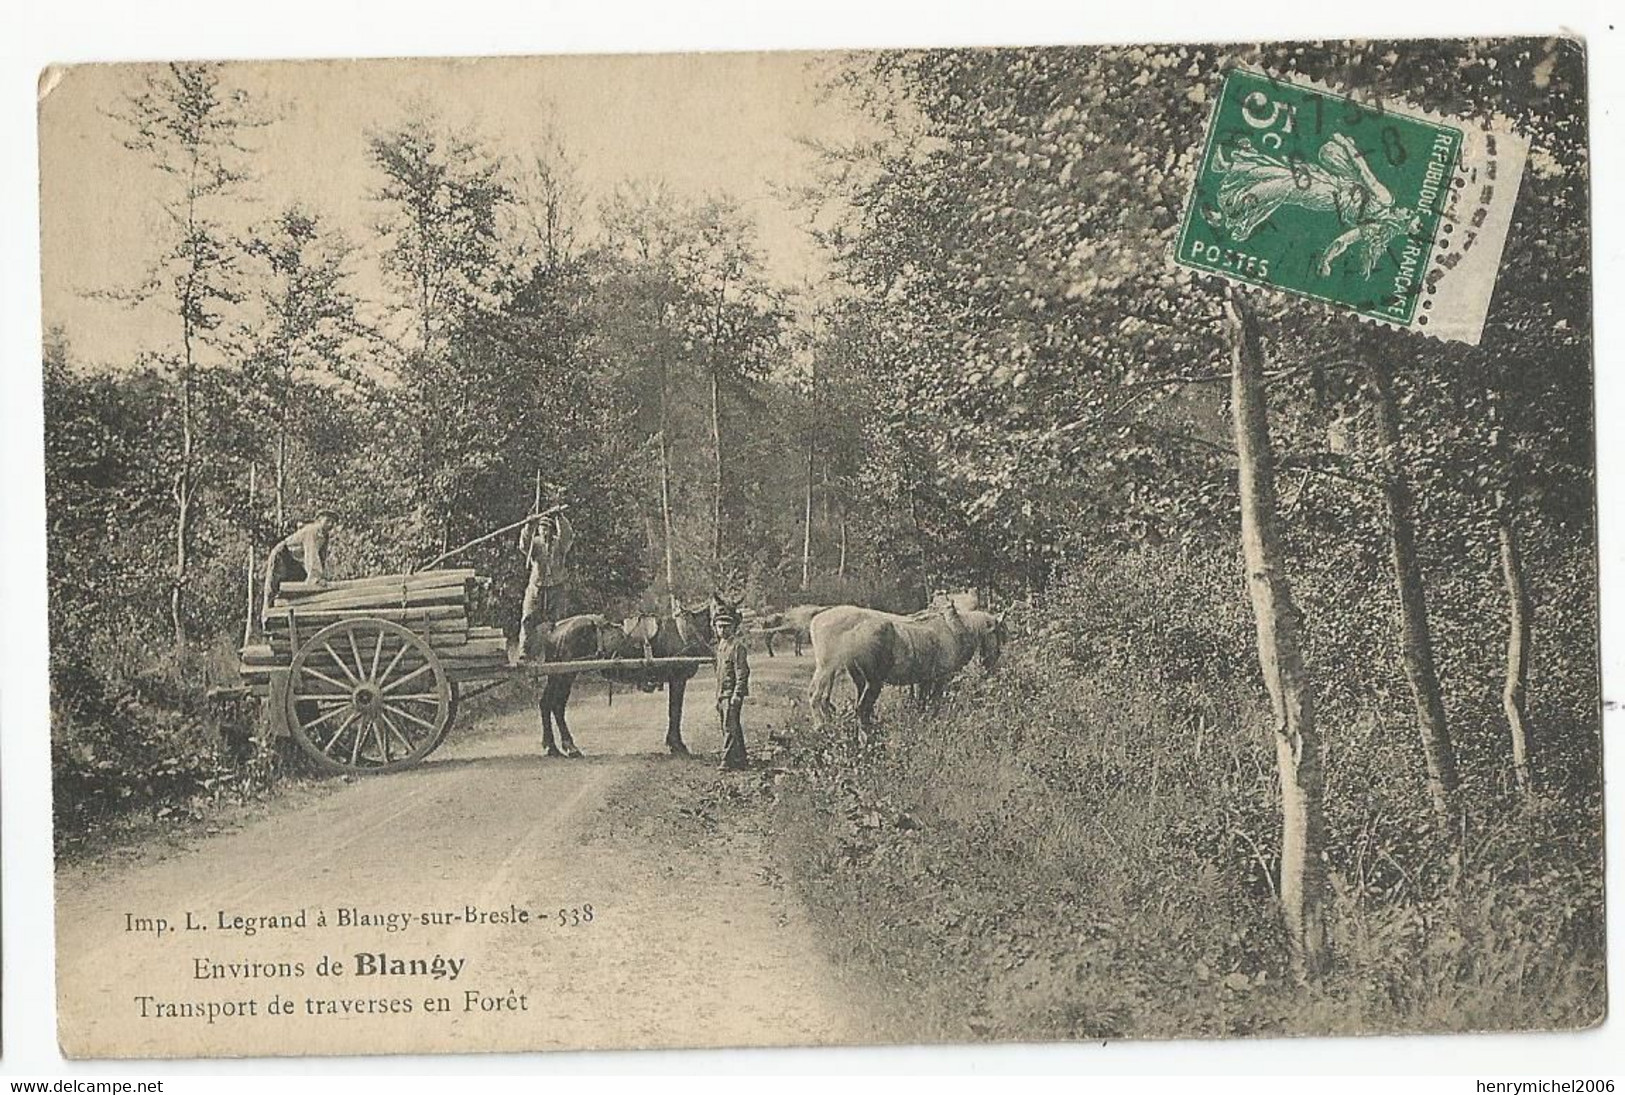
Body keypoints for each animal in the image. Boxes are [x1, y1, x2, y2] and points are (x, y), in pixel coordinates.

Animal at [237, 568, 708, 773]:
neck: (684, 627)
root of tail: (554, 626)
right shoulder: (677, 678)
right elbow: (675, 713)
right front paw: (678, 746)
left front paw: (675, 744)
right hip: (565, 672)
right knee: (552, 706)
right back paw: (565, 747)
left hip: (563, 674)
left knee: (548, 706)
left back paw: (556, 747)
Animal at [802, 601, 1001, 727]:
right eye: (999, 634)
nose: (994, 664)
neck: (955, 630)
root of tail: (819, 616)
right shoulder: (940, 678)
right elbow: (934, 702)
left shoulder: (925, 679)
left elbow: (923, 702)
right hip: (827, 667)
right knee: (816, 695)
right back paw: (821, 726)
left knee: (827, 699)